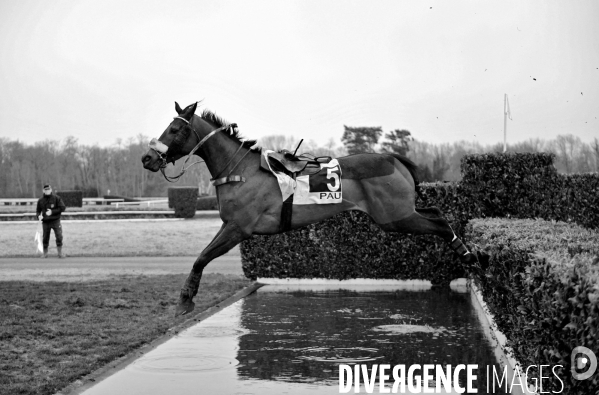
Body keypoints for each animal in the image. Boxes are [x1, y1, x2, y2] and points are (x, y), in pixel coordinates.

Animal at [141, 101, 478, 316]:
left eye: (174, 129)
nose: (148, 158)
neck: (239, 170)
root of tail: (395, 159)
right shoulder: (230, 225)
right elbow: (202, 256)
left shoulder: (238, 227)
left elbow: (201, 258)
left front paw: (185, 300)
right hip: (400, 214)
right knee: (437, 213)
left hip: (395, 216)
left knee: (440, 223)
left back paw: (471, 256)